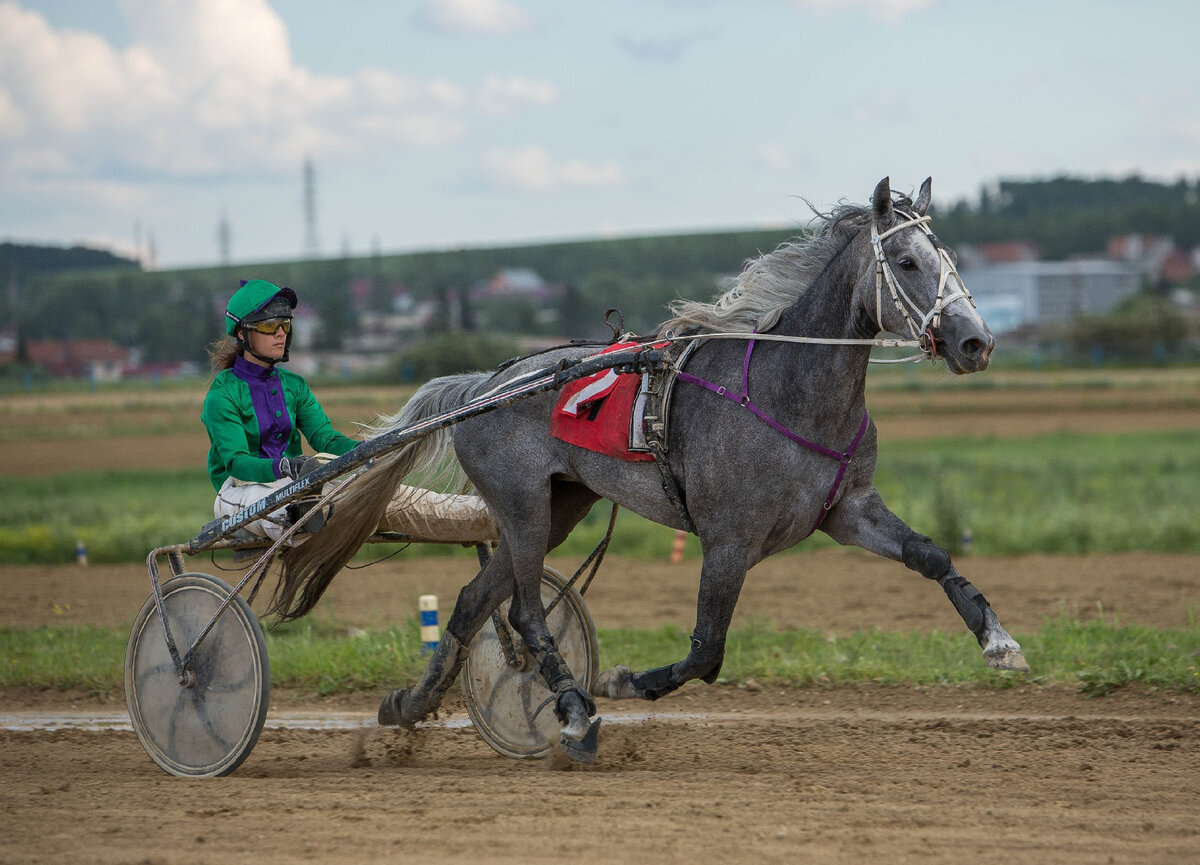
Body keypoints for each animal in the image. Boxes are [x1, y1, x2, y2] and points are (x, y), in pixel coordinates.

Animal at [274, 177, 1032, 763]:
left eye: (948, 257)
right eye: (905, 261)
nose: (976, 342)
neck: (789, 390)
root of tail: (484, 384)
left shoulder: (847, 510)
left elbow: (932, 555)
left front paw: (1000, 642)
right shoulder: (728, 539)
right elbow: (706, 650)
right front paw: (619, 682)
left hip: (558, 507)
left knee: (471, 602)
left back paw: (411, 703)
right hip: (521, 504)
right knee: (523, 609)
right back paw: (573, 712)